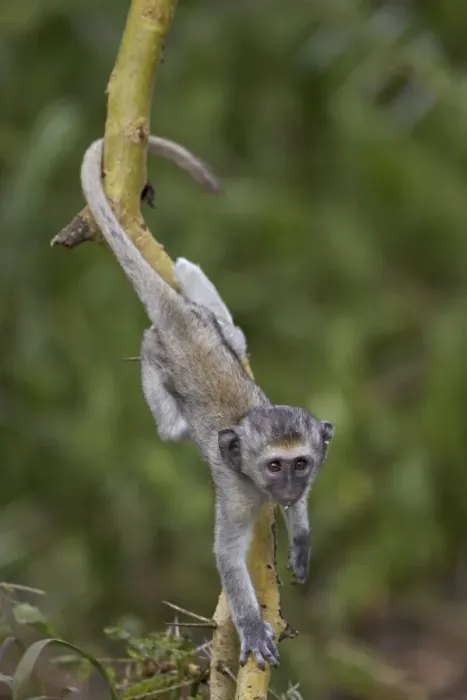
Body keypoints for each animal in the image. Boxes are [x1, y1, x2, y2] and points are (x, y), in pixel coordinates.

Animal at [80, 136, 334, 670]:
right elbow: (227, 556)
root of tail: (179, 319)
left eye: (300, 464)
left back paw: (189, 274)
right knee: (168, 416)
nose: (287, 489)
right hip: (163, 363)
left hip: (213, 326)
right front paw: (252, 627)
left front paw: (300, 536)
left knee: (233, 335)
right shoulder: (238, 493)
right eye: (275, 467)